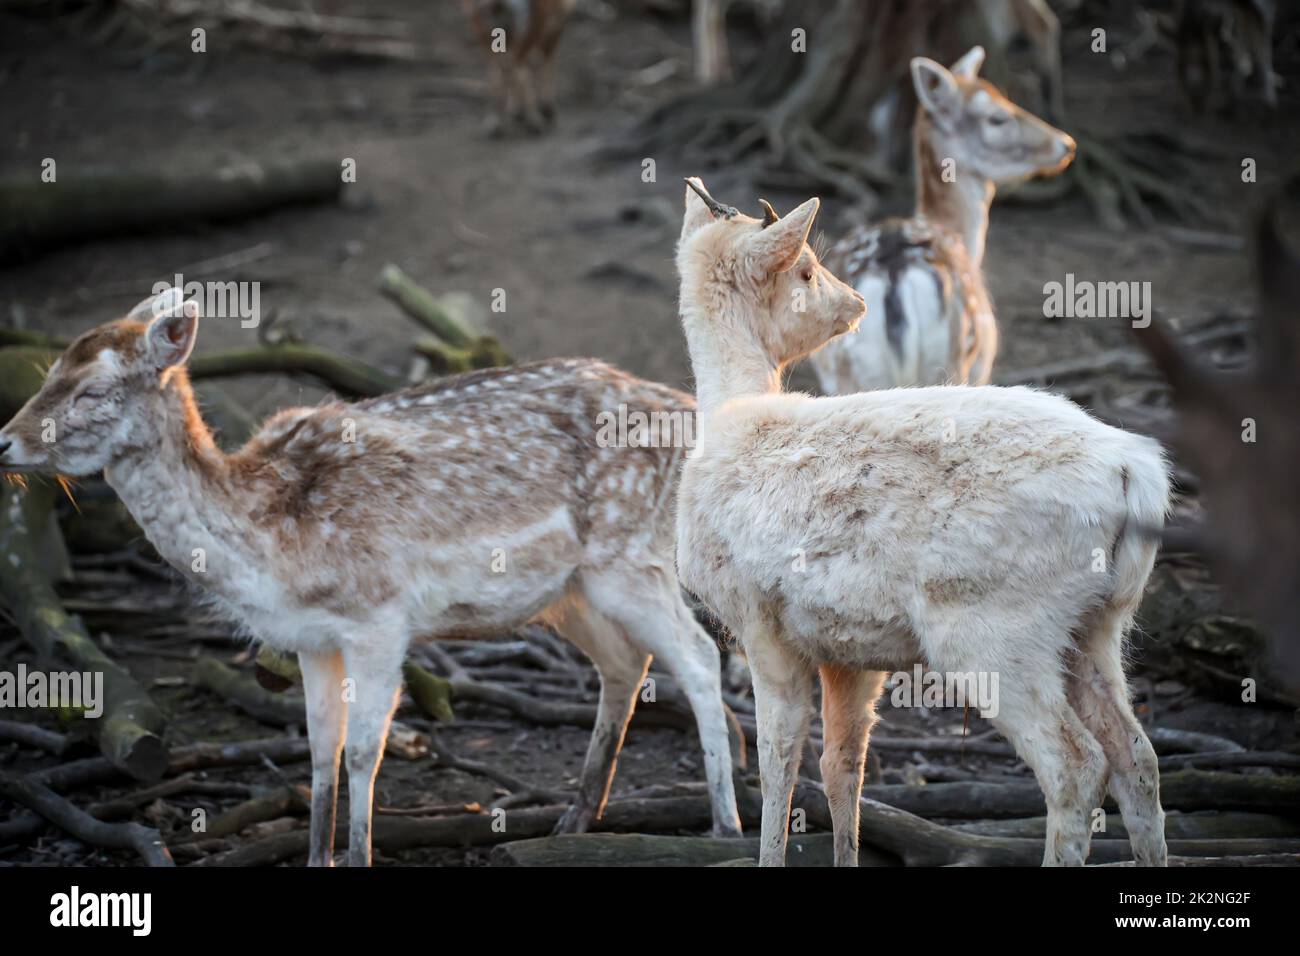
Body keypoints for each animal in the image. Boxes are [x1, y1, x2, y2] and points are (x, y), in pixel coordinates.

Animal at [0, 287, 743, 863]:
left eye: (92, 390)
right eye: (47, 371)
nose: (6, 439)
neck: (273, 547)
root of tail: (688, 413)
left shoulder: (380, 617)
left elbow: (363, 752)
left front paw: (357, 854)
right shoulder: (311, 639)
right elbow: (318, 750)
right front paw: (316, 856)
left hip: (629, 552)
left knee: (700, 656)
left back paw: (725, 826)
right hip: (571, 591)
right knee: (626, 662)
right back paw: (576, 818)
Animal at [460, 0, 577, 134]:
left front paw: (515, 112)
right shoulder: (558, 17)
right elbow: (544, 60)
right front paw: (545, 111)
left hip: (481, 26)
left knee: (501, 67)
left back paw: (495, 122)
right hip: (530, 25)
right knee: (519, 65)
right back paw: (535, 120)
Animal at [676, 178, 1175, 868]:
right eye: (806, 268)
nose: (854, 302)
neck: (731, 414)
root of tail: (1136, 469)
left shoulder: (759, 620)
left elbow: (779, 760)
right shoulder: (846, 651)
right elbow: (841, 765)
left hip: (993, 629)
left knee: (1075, 767)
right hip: (1096, 625)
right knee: (1137, 756)